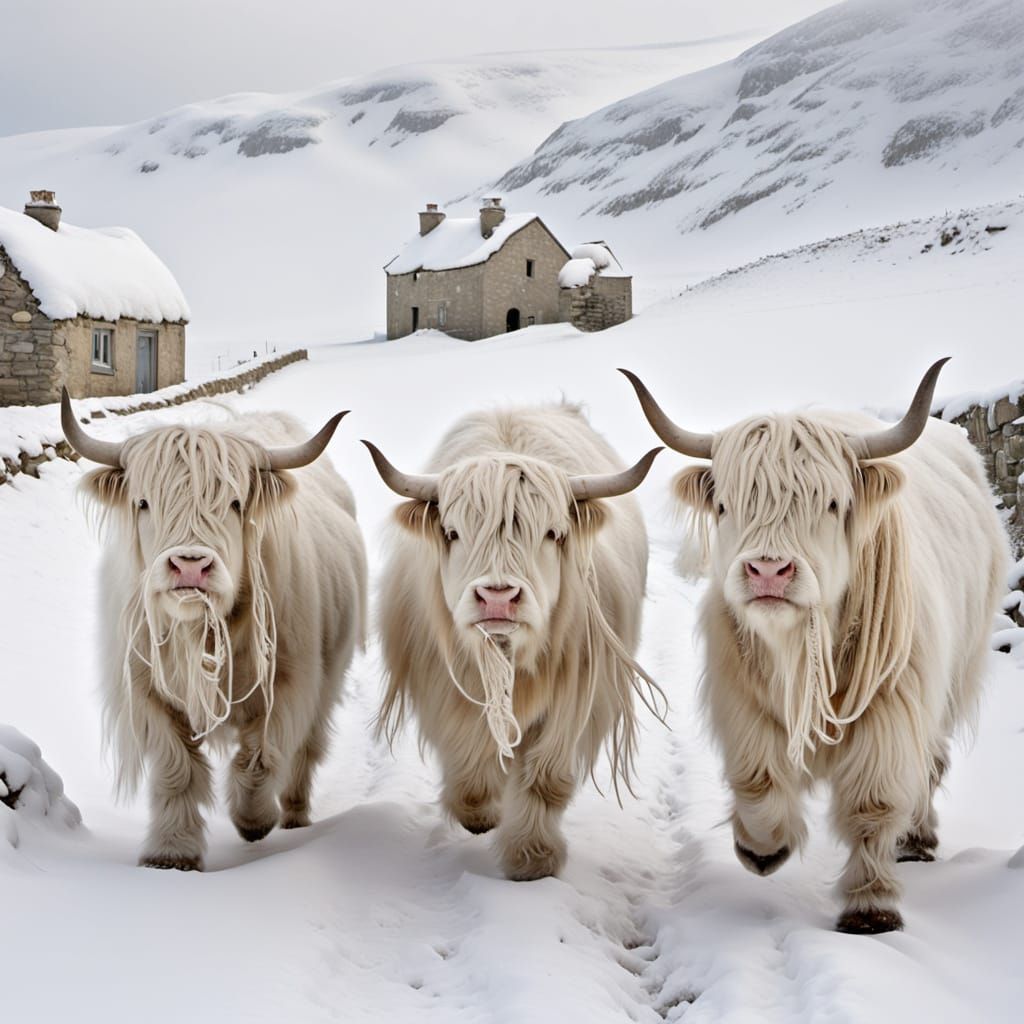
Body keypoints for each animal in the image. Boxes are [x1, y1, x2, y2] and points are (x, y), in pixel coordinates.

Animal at [61, 392, 367, 870]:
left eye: (236, 503)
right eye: (144, 502)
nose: (190, 566)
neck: (201, 631)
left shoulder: (289, 684)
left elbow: (260, 759)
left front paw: (254, 820)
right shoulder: (147, 692)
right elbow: (177, 770)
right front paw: (171, 852)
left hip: (328, 679)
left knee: (307, 749)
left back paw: (294, 813)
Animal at [363, 404, 666, 881]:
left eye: (551, 533)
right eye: (453, 532)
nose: (498, 598)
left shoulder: (577, 696)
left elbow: (545, 778)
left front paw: (532, 857)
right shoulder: (445, 686)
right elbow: (470, 759)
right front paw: (480, 813)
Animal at [621, 360, 1008, 933]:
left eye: (831, 503)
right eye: (724, 505)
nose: (768, 572)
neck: (802, 648)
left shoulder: (891, 706)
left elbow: (873, 803)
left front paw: (870, 905)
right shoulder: (743, 700)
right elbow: (757, 781)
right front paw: (763, 848)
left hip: (954, 678)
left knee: (930, 764)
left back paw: (915, 840)